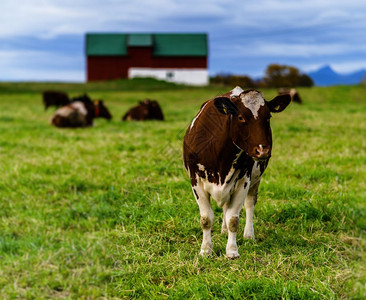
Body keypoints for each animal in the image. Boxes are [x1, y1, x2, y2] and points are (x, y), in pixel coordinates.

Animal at [184, 86, 290, 258]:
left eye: (268, 116)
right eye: (240, 117)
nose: (262, 150)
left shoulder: (243, 181)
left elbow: (233, 219)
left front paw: (232, 251)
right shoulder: (196, 181)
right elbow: (206, 219)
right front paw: (206, 250)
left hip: (255, 179)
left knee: (249, 204)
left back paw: (248, 234)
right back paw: (223, 230)